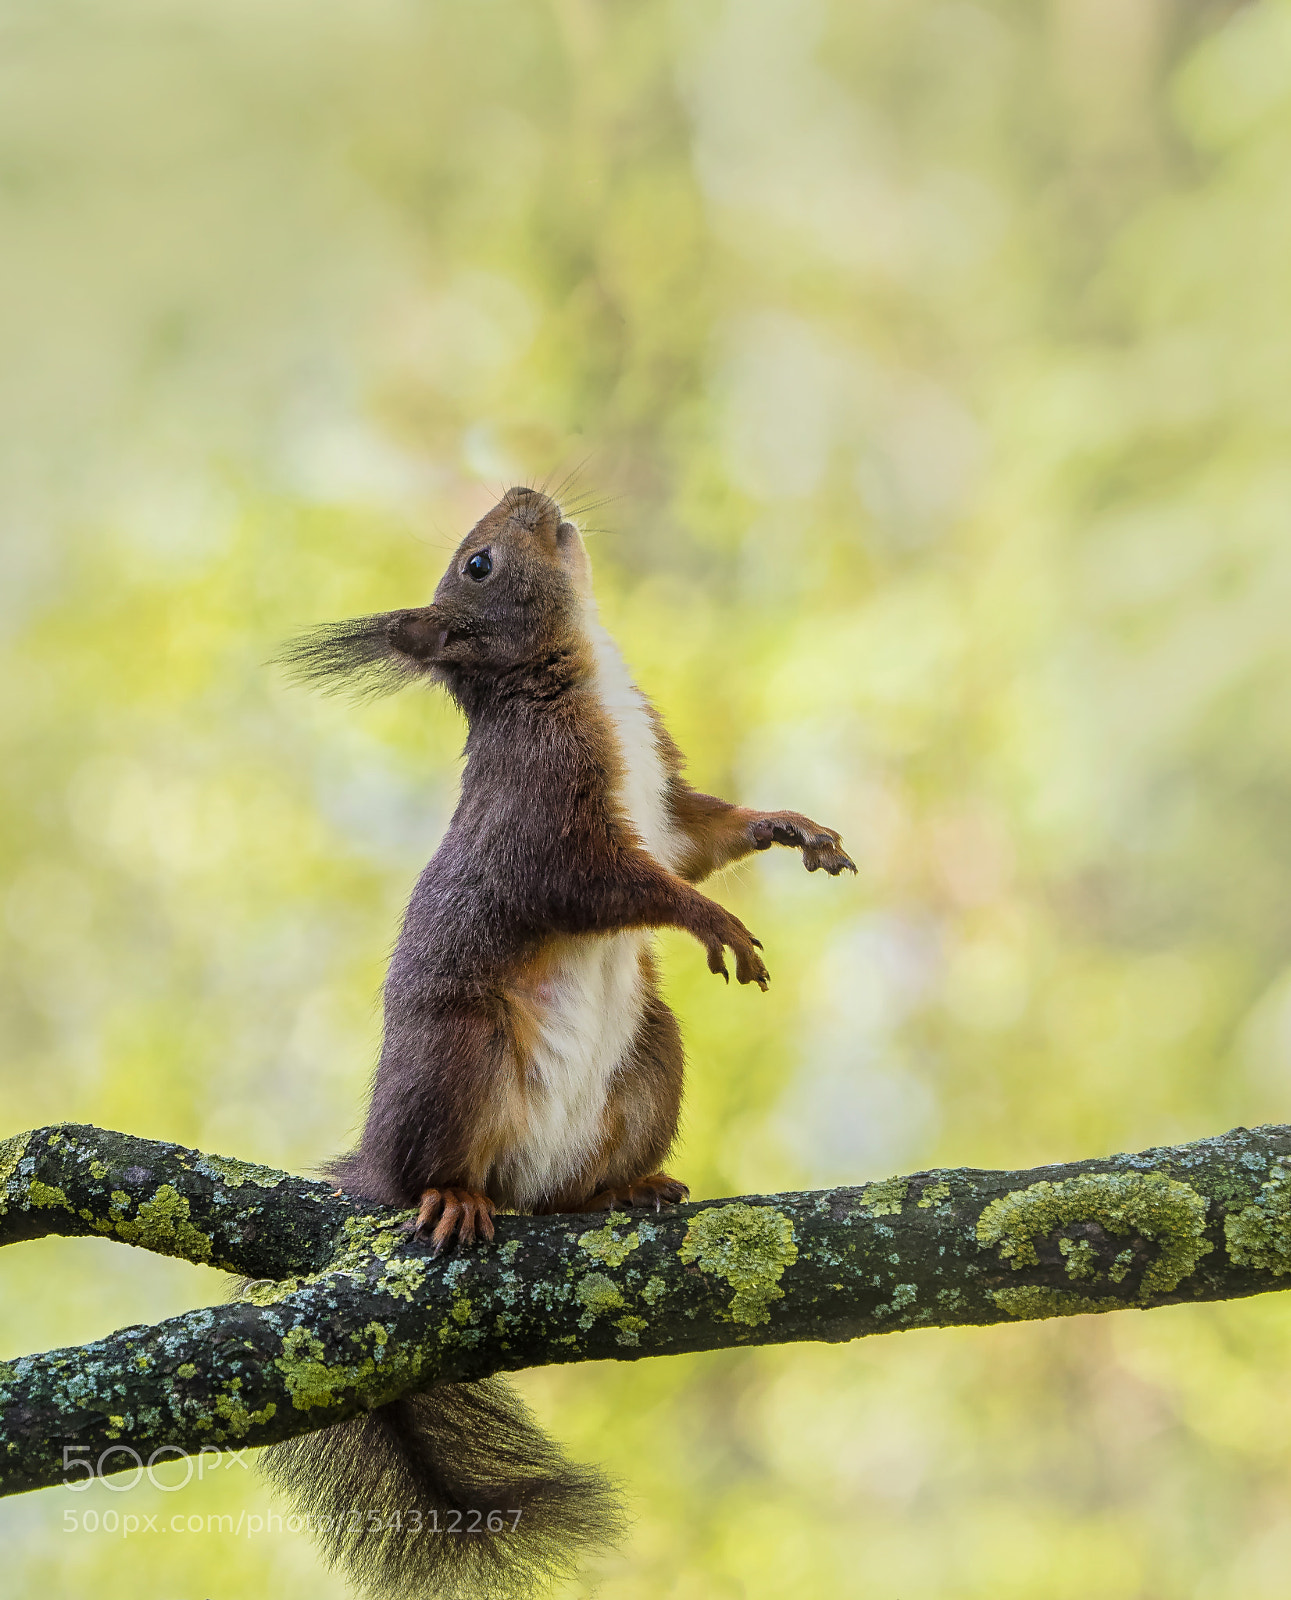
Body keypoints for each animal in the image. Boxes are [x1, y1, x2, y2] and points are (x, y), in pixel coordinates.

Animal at [262, 486, 856, 1600]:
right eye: (480, 563)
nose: (527, 492)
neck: (581, 673)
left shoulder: (665, 803)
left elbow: (699, 837)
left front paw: (789, 825)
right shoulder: (547, 811)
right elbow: (609, 883)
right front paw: (712, 921)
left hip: (650, 1058)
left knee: (568, 1187)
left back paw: (619, 1190)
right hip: (461, 1056)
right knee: (439, 1167)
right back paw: (452, 1195)